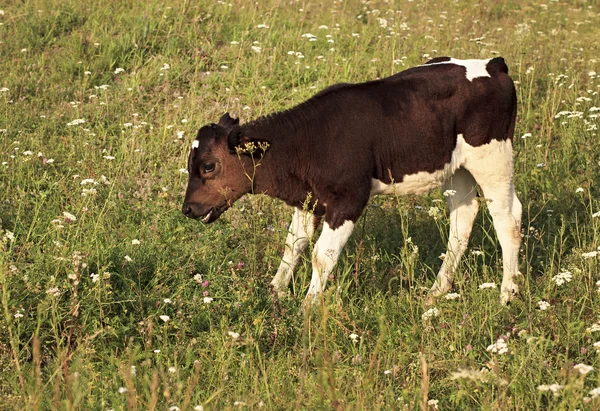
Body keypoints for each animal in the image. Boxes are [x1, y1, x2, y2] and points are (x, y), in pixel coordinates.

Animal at [182, 57, 520, 308]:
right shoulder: (309, 199)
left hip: (493, 159)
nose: (187, 209)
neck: (308, 141)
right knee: (463, 217)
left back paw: (507, 295)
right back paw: (436, 292)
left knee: (508, 220)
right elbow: (294, 244)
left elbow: (322, 256)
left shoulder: (349, 198)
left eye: (209, 166)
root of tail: (493, 64)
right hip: (457, 169)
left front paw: (307, 308)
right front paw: (275, 291)